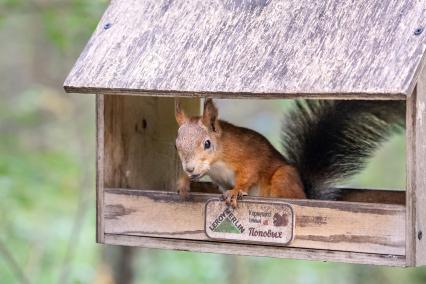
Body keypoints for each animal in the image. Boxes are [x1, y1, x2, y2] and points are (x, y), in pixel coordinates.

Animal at [175, 98, 404, 206]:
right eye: (176, 145)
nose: (190, 168)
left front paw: (234, 192)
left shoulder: (245, 155)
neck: (216, 163)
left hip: (283, 177)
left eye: (207, 144)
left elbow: (249, 173)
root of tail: (307, 196)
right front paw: (183, 182)